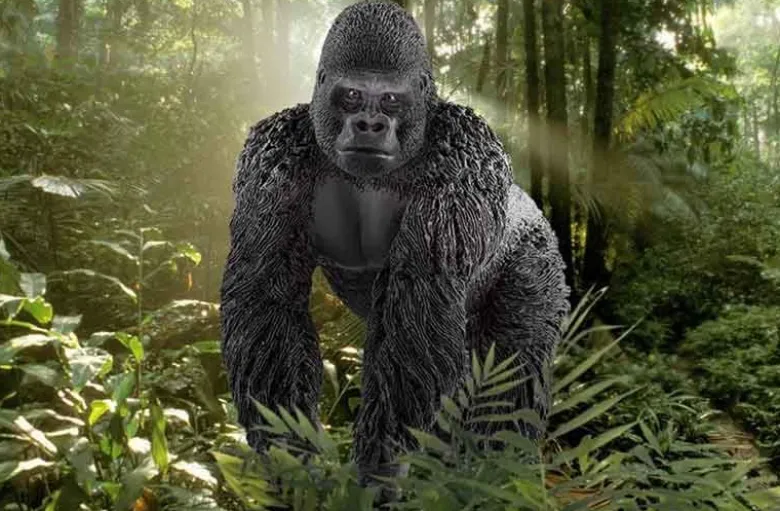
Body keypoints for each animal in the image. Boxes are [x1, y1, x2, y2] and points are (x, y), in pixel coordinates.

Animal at [220, 0, 570, 499]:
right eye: (350, 96)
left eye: (389, 100)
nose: (370, 124)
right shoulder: (270, 154)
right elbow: (265, 297)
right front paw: (292, 456)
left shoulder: (465, 150)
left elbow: (422, 301)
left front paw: (378, 467)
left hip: (537, 255)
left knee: (510, 378)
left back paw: (496, 479)